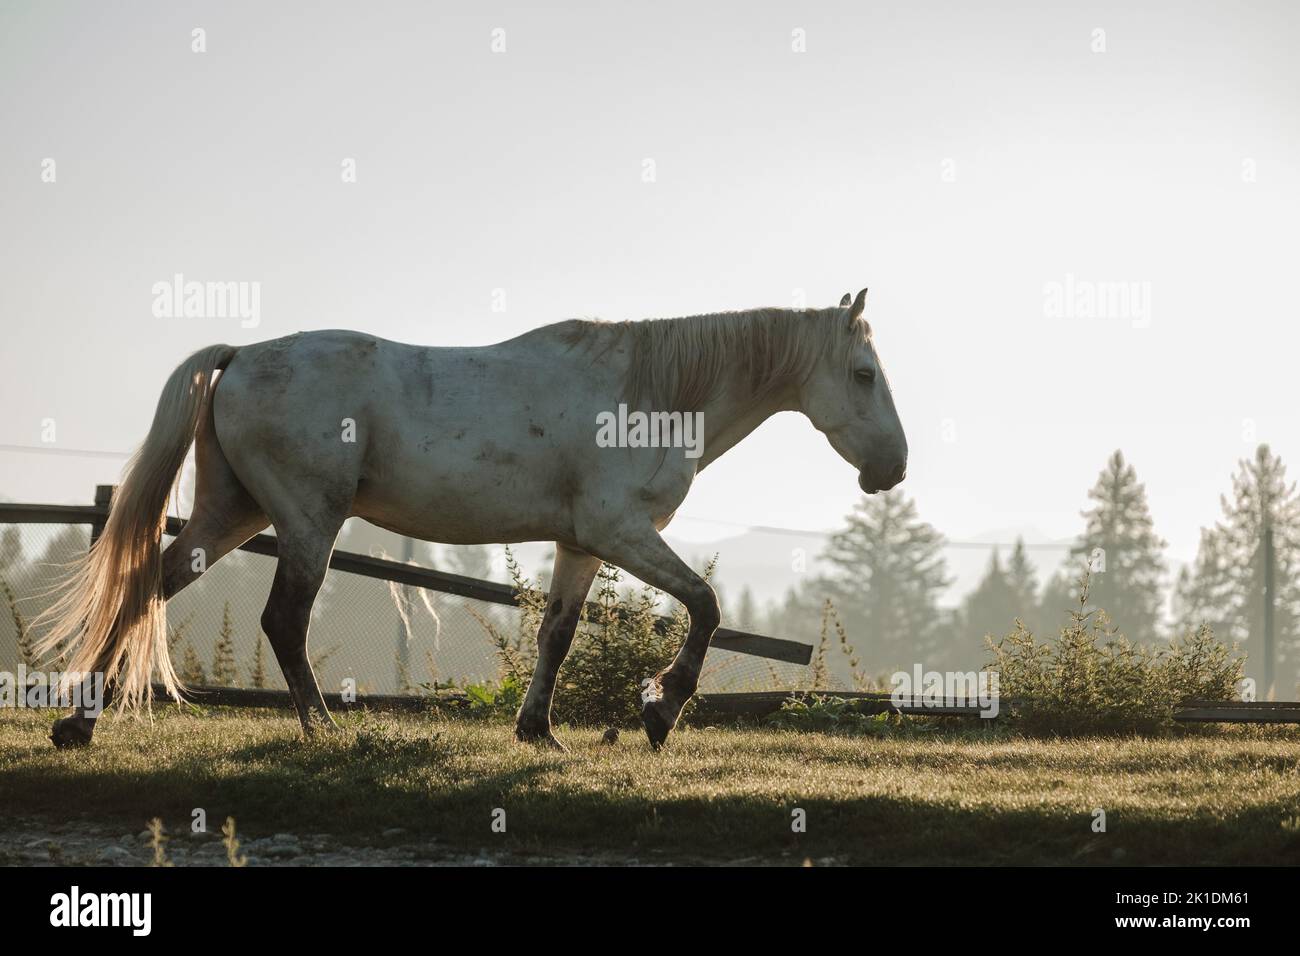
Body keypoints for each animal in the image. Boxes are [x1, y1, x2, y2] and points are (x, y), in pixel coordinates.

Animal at [38, 287, 907, 750]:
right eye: (864, 374)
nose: (892, 468)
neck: (652, 394)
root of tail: (241, 355)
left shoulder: (580, 545)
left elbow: (557, 632)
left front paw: (538, 730)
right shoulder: (623, 534)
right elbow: (706, 605)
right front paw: (660, 711)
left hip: (232, 514)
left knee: (147, 585)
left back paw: (79, 724)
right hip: (307, 525)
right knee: (281, 621)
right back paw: (322, 731)